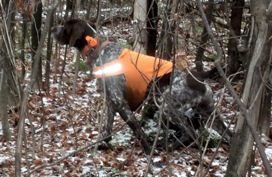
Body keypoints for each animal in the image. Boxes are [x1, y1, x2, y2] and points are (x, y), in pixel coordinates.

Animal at [52, 18, 231, 153]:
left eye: (65, 27)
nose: (53, 29)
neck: (99, 51)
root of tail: (197, 76)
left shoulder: (121, 103)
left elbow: (138, 130)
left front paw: (148, 151)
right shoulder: (110, 102)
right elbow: (106, 130)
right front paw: (101, 146)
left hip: (167, 108)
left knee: (191, 133)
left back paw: (169, 147)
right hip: (209, 112)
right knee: (227, 134)